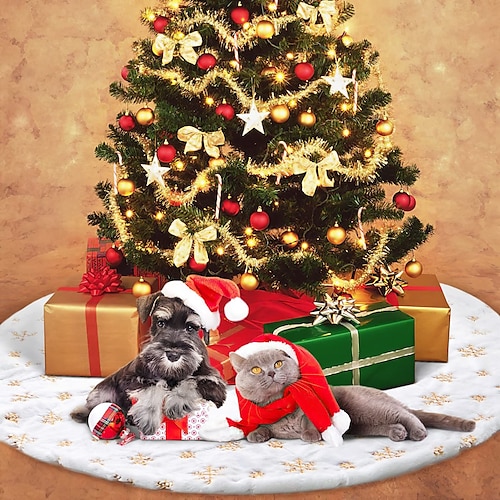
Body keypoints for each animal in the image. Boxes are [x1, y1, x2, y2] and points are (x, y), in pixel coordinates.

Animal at [70, 292, 227, 436]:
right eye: (161, 323)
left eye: (190, 328)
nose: (173, 355)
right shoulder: (131, 378)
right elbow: (152, 387)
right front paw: (148, 417)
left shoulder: (214, 383)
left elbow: (191, 381)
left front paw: (177, 402)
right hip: (103, 392)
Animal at [229, 348, 474, 442]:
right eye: (256, 370)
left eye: (278, 363)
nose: (271, 372)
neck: (278, 404)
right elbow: (259, 427)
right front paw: (257, 434)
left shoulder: (316, 406)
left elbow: (310, 419)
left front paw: (310, 434)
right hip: (361, 423)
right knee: (392, 421)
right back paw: (397, 432)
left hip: (365, 406)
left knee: (406, 414)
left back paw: (417, 431)